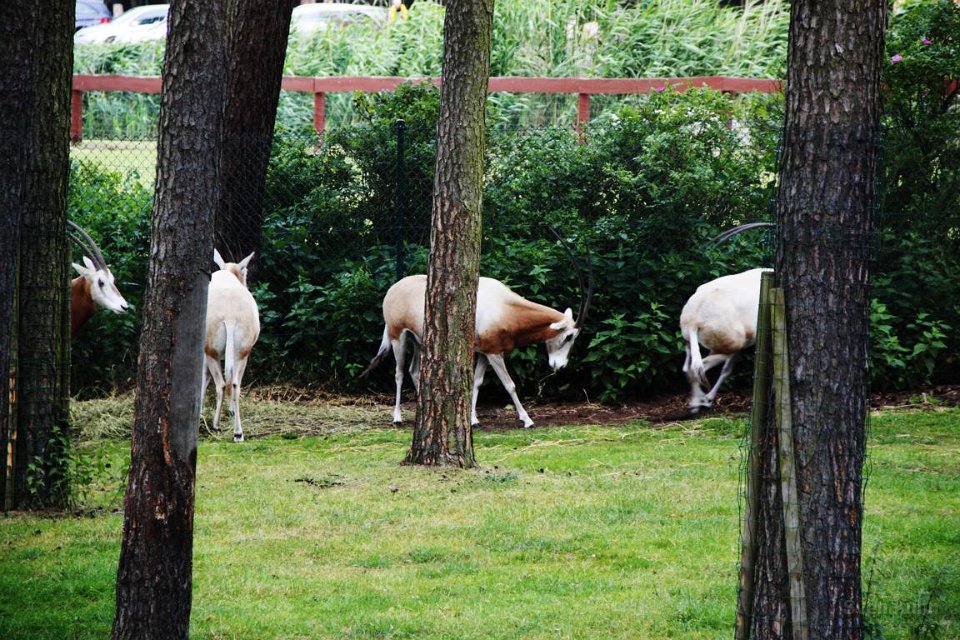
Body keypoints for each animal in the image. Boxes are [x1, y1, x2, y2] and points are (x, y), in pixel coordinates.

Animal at [202, 249, 260, 442]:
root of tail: (230, 317)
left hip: (211, 352)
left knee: (221, 384)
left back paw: (216, 426)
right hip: (242, 353)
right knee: (235, 383)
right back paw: (238, 433)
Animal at [361, 272, 592, 428]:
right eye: (569, 336)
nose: (559, 366)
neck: (505, 308)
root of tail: (393, 288)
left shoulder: (484, 352)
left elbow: (477, 382)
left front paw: (473, 420)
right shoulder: (495, 353)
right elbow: (510, 385)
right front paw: (527, 420)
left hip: (419, 340)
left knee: (414, 370)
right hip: (398, 337)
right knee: (399, 373)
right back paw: (397, 417)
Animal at [680, 267, 772, 413]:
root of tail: (692, 320)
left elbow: (727, 369)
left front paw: (709, 399)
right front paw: (708, 399)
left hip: (691, 342)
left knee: (687, 367)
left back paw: (698, 402)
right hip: (731, 345)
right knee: (697, 368)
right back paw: (698, 403)